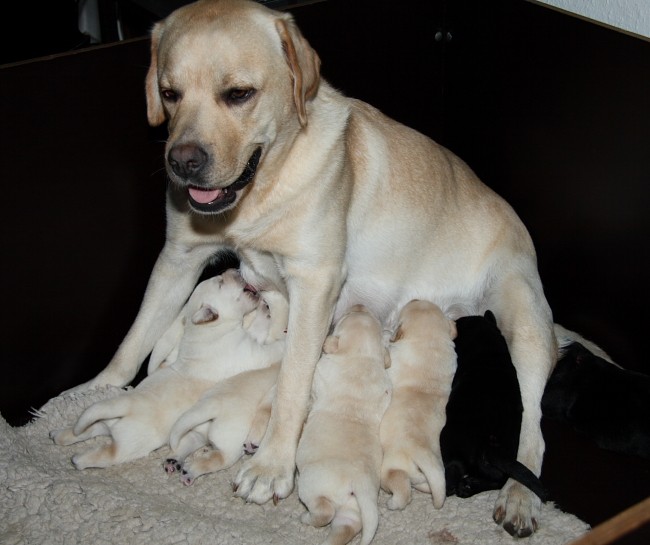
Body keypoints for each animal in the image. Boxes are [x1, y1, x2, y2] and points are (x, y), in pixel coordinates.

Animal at [50, 268, 284, 468]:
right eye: (220, 282)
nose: (232, 269)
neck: (205, 331)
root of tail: (125, 406)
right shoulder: (250, 352)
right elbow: (269, 347)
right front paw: (283, 336)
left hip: (105, 423)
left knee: (87, 430)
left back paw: (59, 435)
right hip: (129, 443)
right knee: (105, 454)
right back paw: (78, 460)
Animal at [294, 306, 390, 544]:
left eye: (344, 319)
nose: (360, 305)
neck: (362, 356)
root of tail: (359, 483)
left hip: (313, 485)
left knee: (324, 512)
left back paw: (306, 518)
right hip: (353, 508)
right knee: (347, 526)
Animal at [380, 298, 456, 510]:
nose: (414, 298)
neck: (431, 344)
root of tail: (422, 455)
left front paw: (387, 335)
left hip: (391, 467)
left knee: (402, 488)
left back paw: (393, 503)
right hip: (433, 472)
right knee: (430, 484)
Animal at [438, 310, 548, 502]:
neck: (488, 349)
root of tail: (490, 445)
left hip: (448, 439)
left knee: (454, 470)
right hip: (499, 467)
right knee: (499, 480)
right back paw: (468, 486)